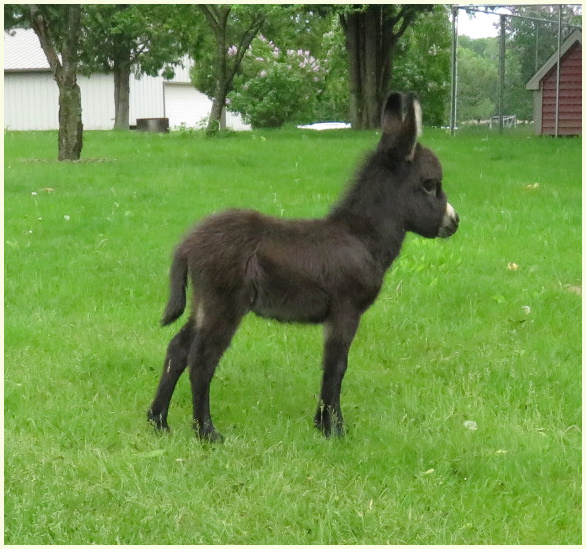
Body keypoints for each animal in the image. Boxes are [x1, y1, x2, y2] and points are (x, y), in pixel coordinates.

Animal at [146, 91, 456, 440]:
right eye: (430, 184)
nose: (454, 222)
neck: (361, 236)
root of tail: (188, 243)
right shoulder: (346, 311)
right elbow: (336, 366)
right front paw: (334, 430)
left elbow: (330, 366)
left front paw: (323, 424)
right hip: (224, 304)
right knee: (201, 361)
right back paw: (207, 433)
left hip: (204, 303)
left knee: (177, 350)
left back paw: (158, 421)